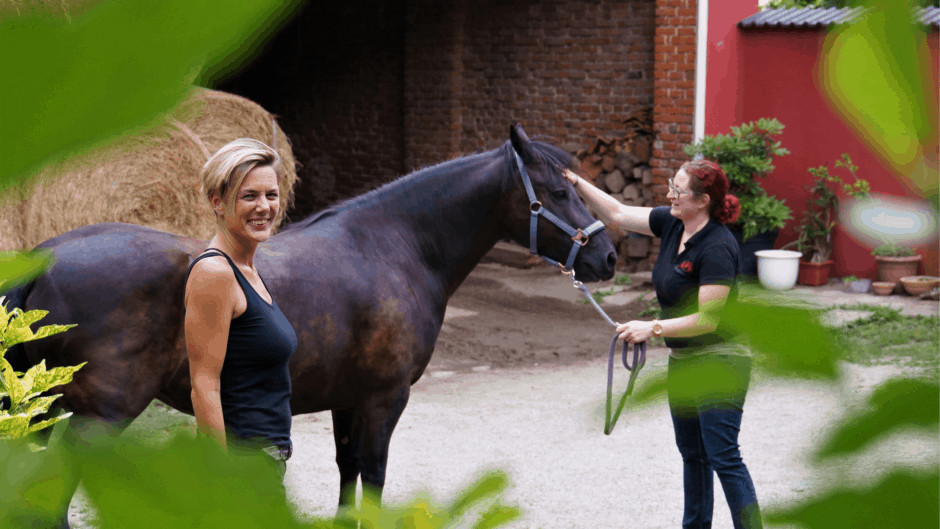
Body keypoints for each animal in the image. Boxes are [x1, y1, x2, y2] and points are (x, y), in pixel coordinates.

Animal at [4, 124, 616, 522]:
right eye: (557, 192)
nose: (607, 258)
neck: (394, 246)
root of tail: (44, 261)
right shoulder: (384, 400)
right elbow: (373, 478)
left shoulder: (348, 400)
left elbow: (348, 475)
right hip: (97, 420)